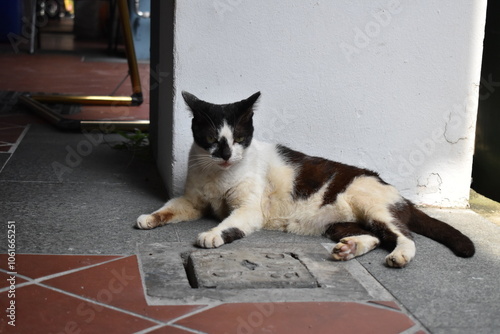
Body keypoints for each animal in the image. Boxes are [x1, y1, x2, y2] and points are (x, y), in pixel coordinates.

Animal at [138, 90, 476, 268]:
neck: (217, 175)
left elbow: (229, 223)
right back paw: (348, 248)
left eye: (238, 138)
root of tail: (397, 193)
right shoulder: (194, 201)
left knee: (403, 235)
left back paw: (400, 255)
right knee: (375, 237)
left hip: (373, 207)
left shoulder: (248, 209)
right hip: (337, 224)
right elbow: (171, 207)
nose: (225, 154)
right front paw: (149, 218)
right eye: (210, 139)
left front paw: (211, 235)